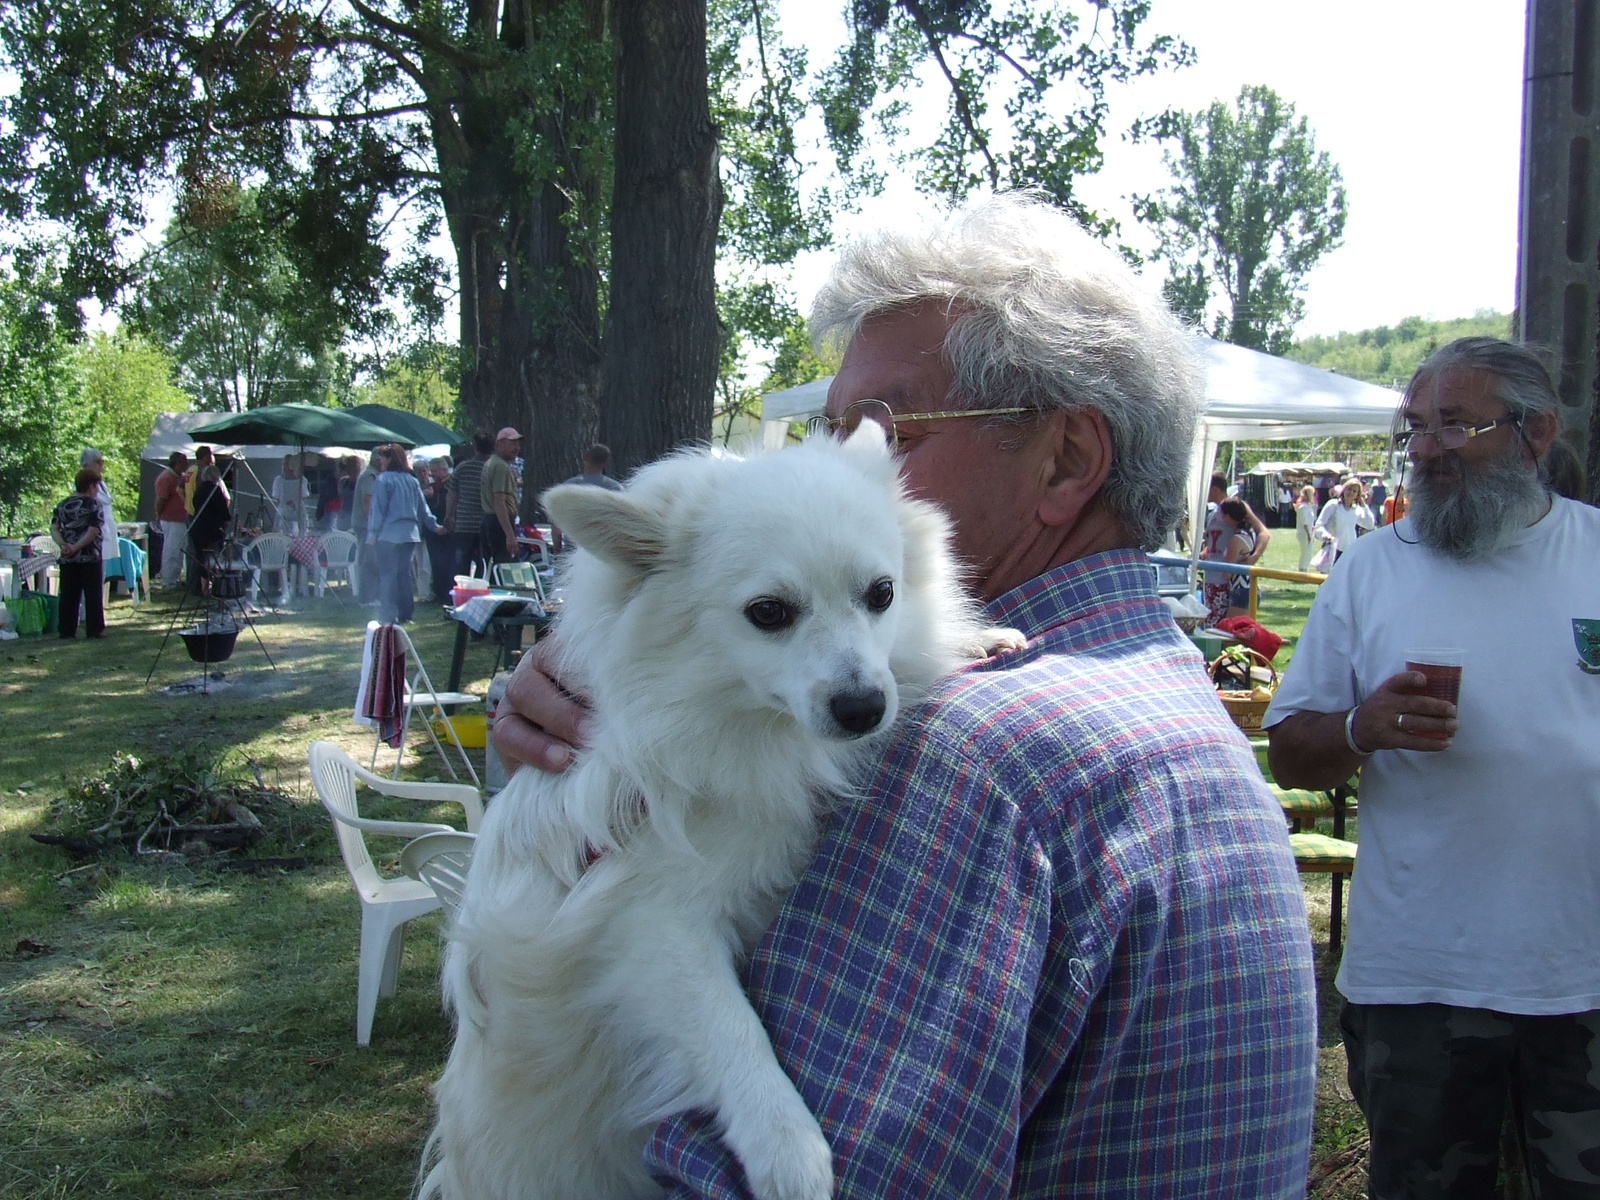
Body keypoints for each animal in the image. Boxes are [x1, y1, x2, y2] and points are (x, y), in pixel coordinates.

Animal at [419, 428, 1004, 1196]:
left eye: (882, 594)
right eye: (768, 613)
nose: (863, 708)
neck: (749, 722)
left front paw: (975, 639)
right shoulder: (651, 926)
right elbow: (730, 1028)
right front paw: (788, 1147)